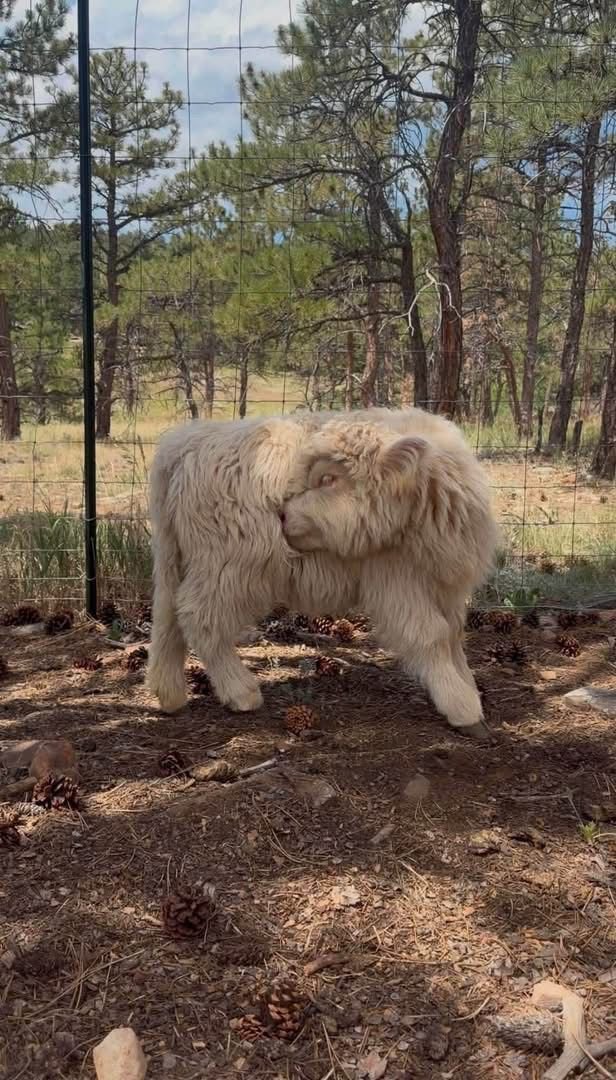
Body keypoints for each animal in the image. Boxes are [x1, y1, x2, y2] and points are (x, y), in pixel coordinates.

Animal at [147, 407, 499, 740]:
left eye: (328, 479)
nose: (282, 514)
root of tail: (188, 441)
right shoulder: (395, 579)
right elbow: (431, 635)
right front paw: (461, 706)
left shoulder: (446, 584)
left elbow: (453, 634)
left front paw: (469, 687)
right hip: (227, 568)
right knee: (199, 618)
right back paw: (240, 692)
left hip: (180, 559)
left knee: (169, 617)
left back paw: (170, 695)